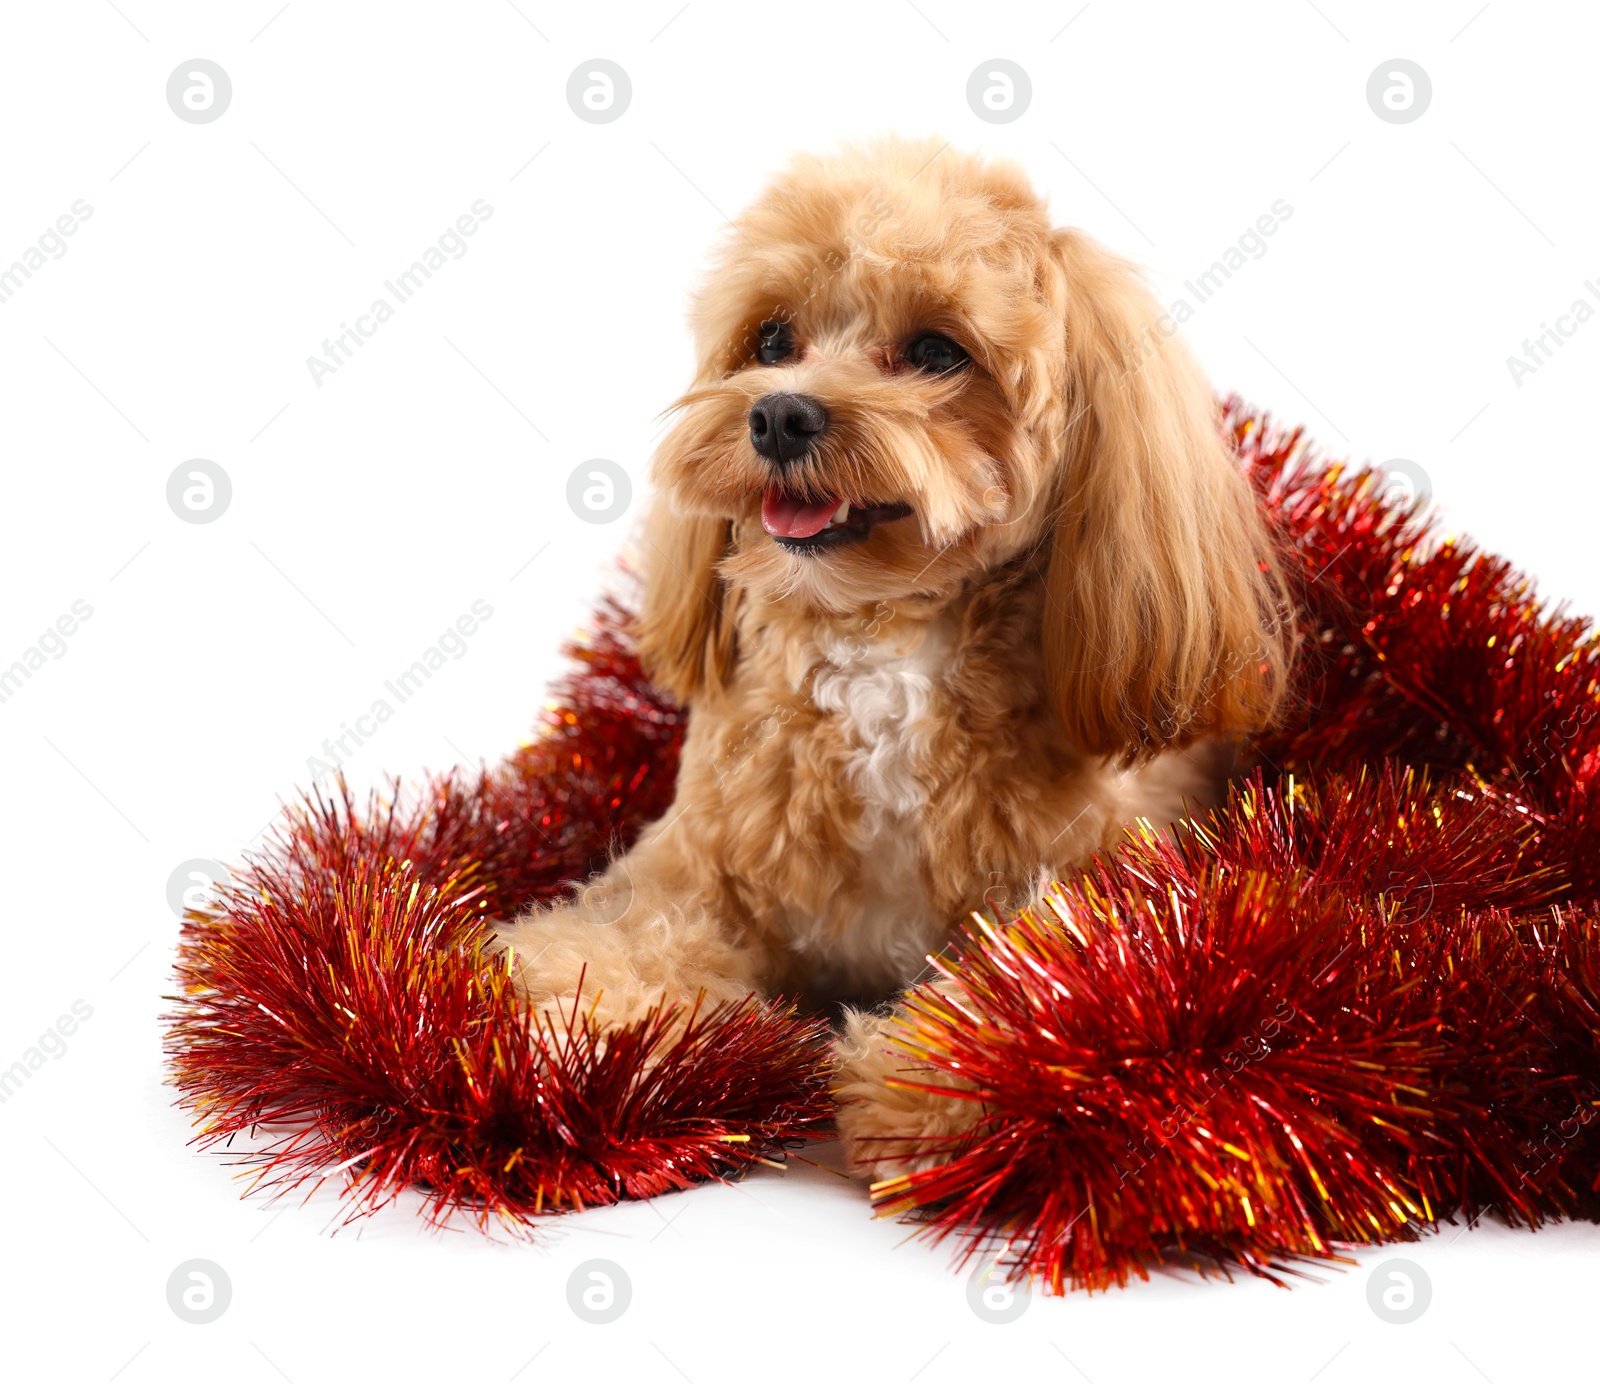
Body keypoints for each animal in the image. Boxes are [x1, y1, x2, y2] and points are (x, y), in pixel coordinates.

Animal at [505, 137, 1292, 1177]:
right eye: (771, 340)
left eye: (935, 353)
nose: (780, 416)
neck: (879, 644)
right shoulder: (695, 868)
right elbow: (630, 935)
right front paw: (584, 1025)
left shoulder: (1100, 878)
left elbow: (1048, 968)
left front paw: (929, 1072)